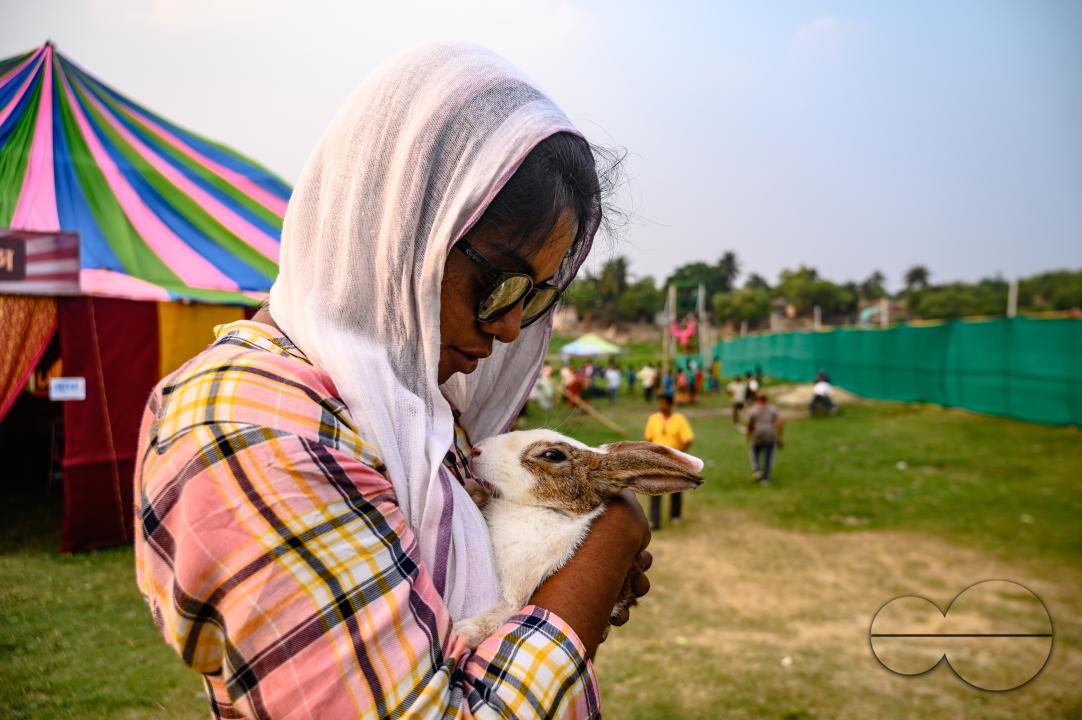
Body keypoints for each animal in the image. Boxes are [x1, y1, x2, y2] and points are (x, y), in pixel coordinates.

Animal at [455, 428, 704, 648]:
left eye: (552, 455)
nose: (476, 450)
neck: (544, 510)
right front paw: (472, 491)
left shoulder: (518, 593)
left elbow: (502, 614)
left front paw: (464, 632)